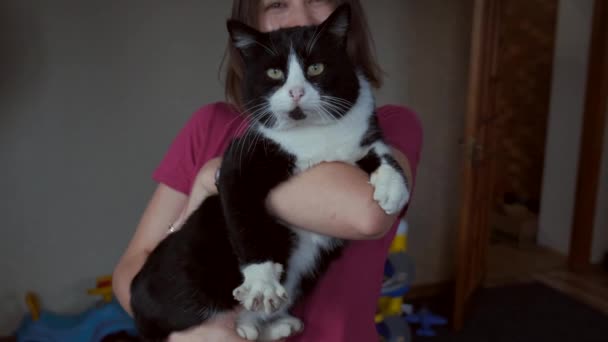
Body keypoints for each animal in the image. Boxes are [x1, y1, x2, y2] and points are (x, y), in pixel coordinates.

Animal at [132, 5, 408, 342]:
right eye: (274, 73)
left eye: (316, 68)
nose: (297, 92)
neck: (312, 135)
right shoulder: (238, 162)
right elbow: (247, 221)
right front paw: (262, 283)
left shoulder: (362, 132)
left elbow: (380, 150)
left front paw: (393, 187)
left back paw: (276, 325)